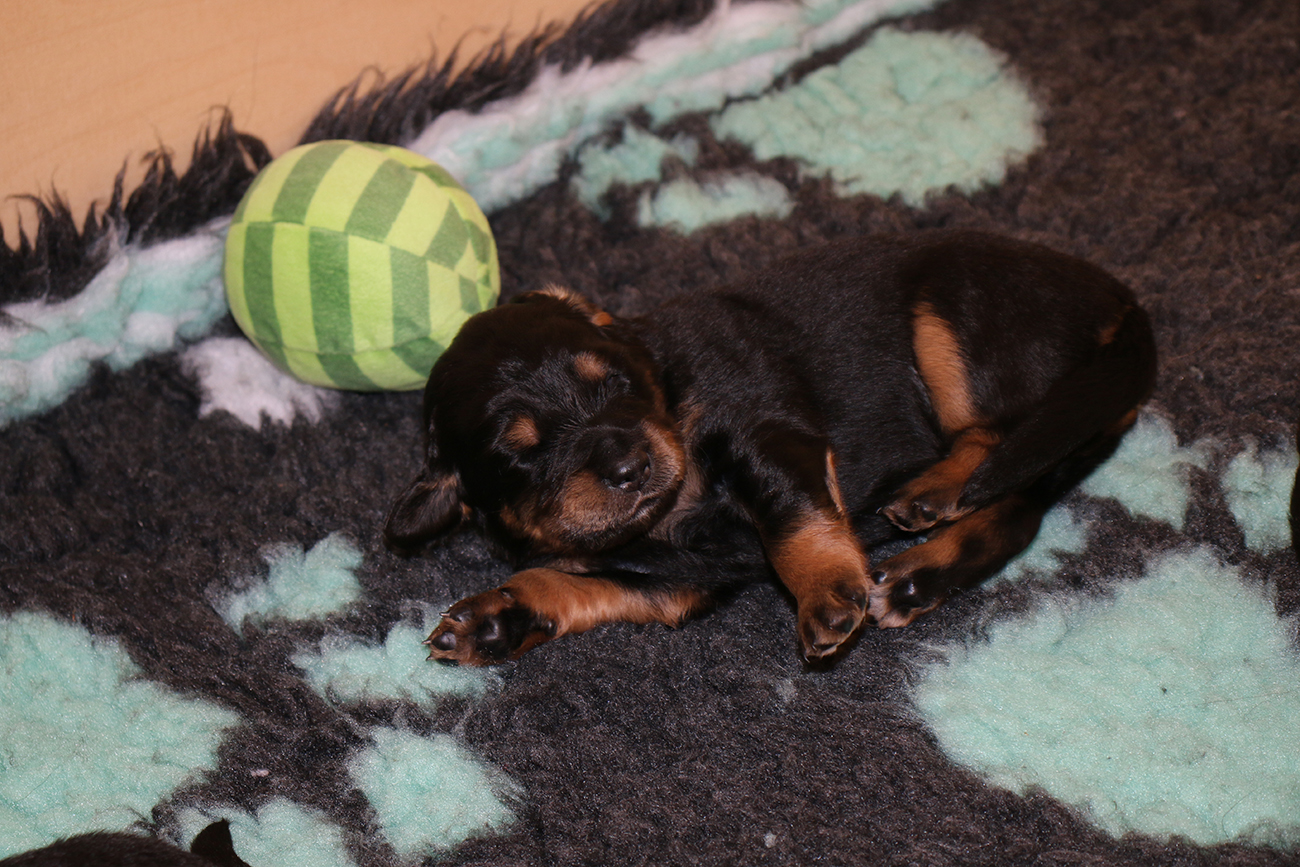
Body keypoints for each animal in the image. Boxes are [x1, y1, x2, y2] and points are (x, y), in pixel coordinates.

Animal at [385, 231, 1157, 665]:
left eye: (616, 383)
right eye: (520, 451)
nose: (632, 466)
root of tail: (1123, 302)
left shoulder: (763, 429)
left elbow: (794, 518)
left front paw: (826, 594)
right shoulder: (667, 581)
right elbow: (561, 583)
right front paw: (491, 623)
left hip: (953, 316)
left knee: (999, 456)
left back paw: (927, 503)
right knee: (1013, 506)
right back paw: (921, 562)